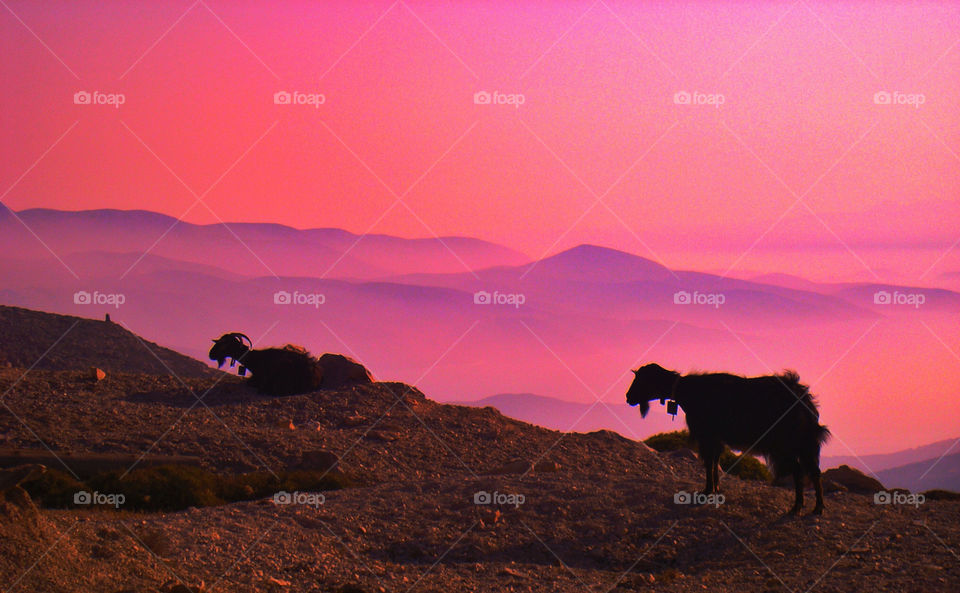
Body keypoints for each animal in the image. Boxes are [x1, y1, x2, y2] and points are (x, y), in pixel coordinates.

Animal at [628, 360, 828, 512]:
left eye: (641, 380)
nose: (628, 397)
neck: (687, 391)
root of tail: (804, 398)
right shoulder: (716, 438)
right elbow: (715, 461)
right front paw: (715, 489)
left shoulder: (707, 436)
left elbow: (709, 462)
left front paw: (706, 491)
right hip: (802, 444)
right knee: (811, 470)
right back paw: (815, 507)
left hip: (787, 444)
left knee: (800, 470)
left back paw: (800, 507)